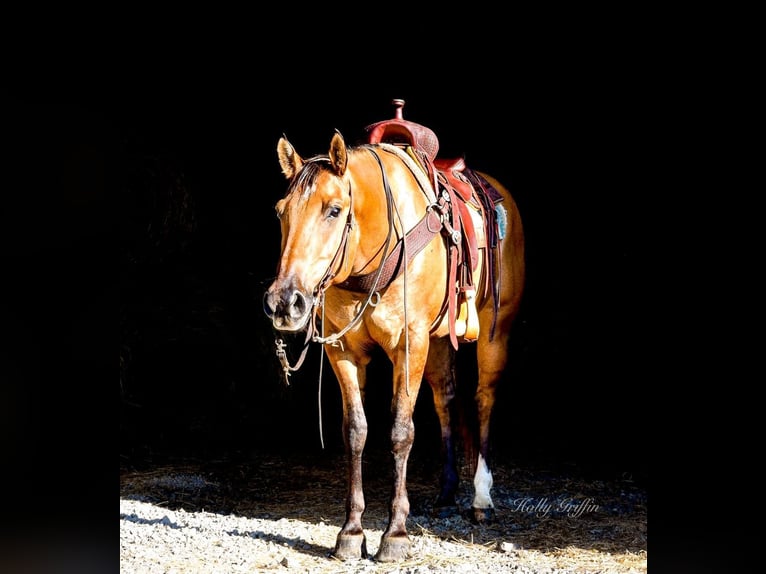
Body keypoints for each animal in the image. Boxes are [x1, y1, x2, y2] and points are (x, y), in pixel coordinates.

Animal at [266, 101, 528, 564]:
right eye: (281, 211)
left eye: (334, 209)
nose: (284, 302)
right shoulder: (344, 351)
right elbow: (356, 431)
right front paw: (352, 531)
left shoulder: (409, 346)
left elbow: (401, 431)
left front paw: (395, 534)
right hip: (439, 341)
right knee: (446, 399)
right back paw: (446, 494)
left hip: (495, 333)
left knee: (483, 400)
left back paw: (481, 498)